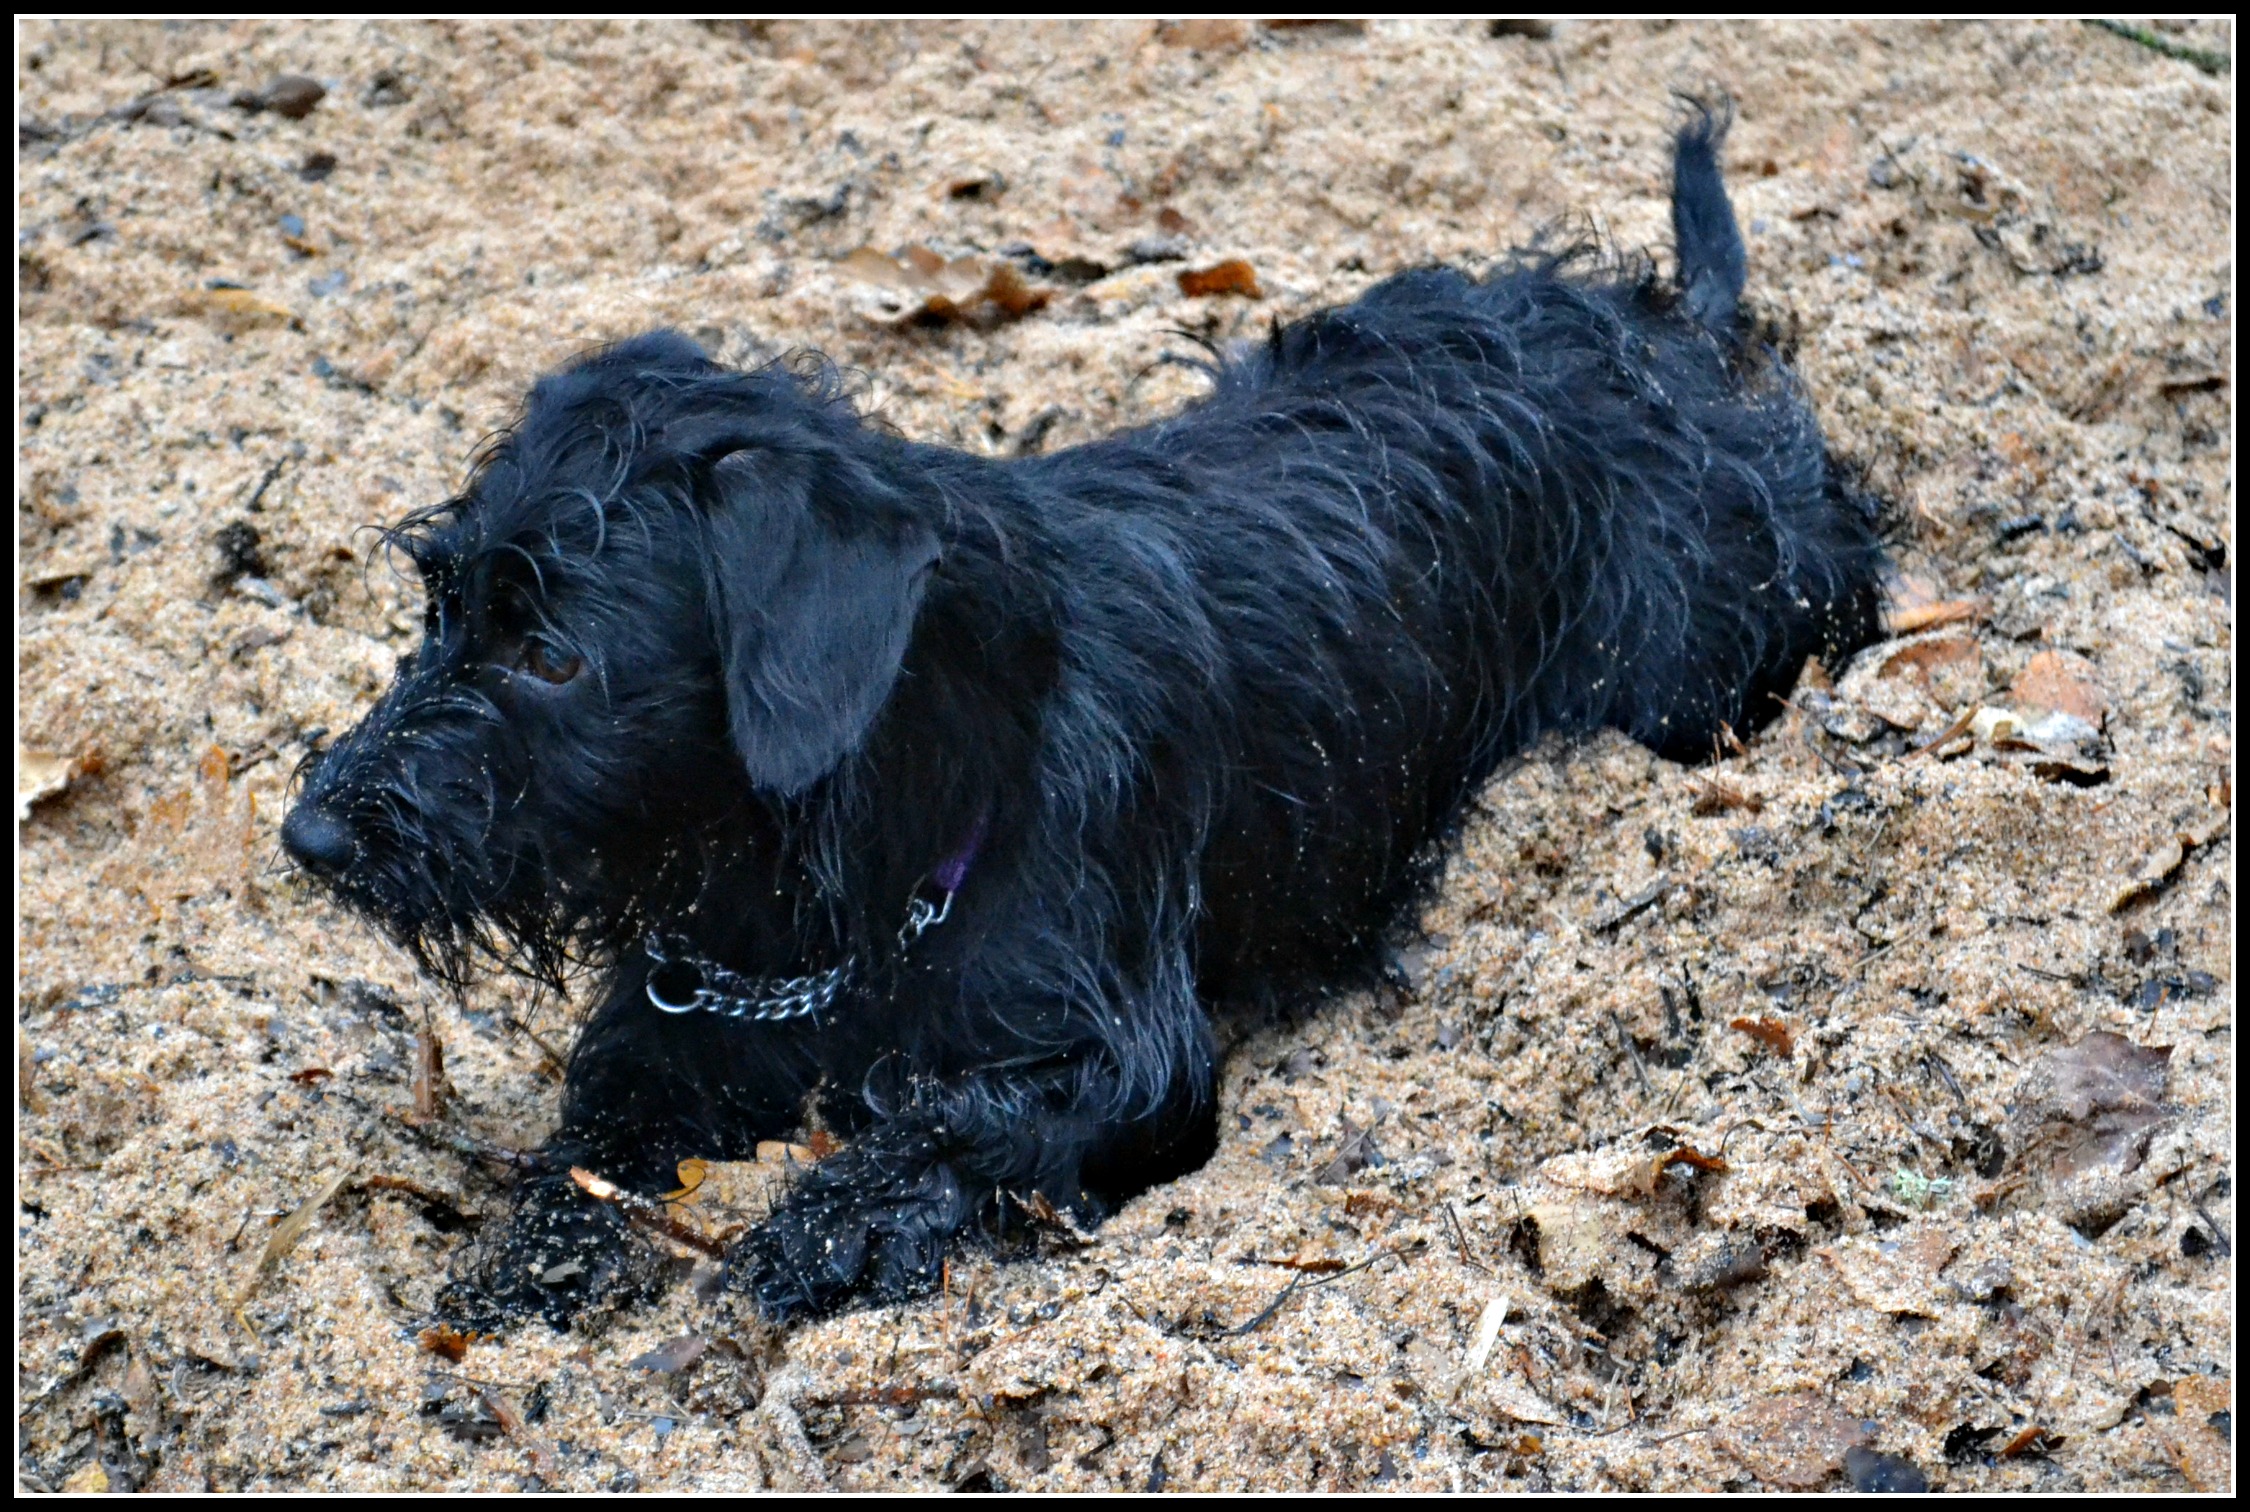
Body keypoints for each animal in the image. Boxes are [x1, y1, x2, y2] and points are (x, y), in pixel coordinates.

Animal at [282, 105, 1886, 1327]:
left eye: (555, 659)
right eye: (438, 606)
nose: (310, 837)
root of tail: (1675, 344)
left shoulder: (1128, 1057)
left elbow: (953, 1120)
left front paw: (815, 1229)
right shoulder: (675, 1026)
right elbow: (592, 1138)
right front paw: (536, 1255)